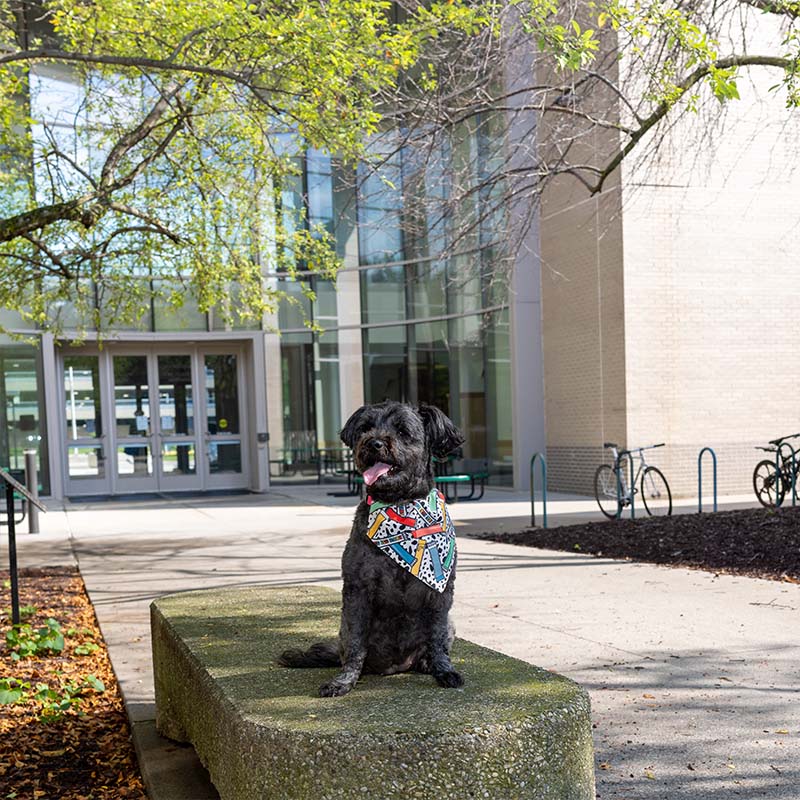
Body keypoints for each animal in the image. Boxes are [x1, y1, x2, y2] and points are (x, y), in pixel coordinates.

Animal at [280, 404, 466, 696]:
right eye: (366, 428)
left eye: (402, 430)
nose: (374, 443)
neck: (399, 506)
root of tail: (397, 666)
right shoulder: (357, 590)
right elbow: (357, 645)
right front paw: (344, 681)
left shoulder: (441, 593)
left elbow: (436, 639)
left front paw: (443, 670)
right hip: (343, 630)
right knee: (348, 651)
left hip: (450, 622)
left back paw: (426, 663)